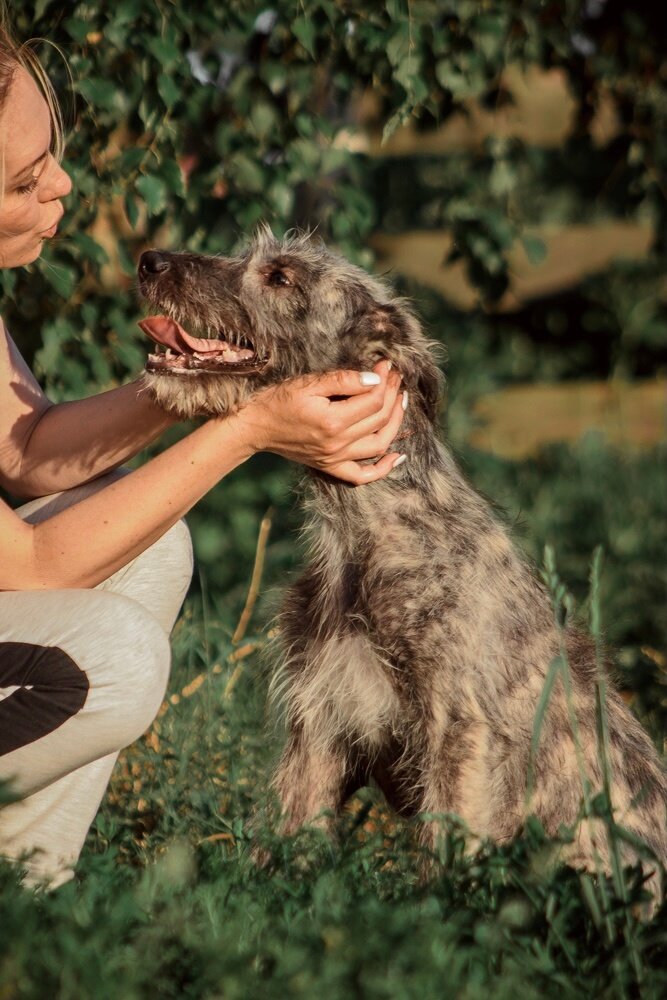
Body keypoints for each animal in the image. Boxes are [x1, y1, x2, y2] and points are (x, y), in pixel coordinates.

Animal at [138, 227, 664, 892]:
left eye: (281, 277)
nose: (148, 260)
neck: (371, 526)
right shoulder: (319, 717)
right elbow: (289, 833)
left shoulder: (458, 727)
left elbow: (446, 853)